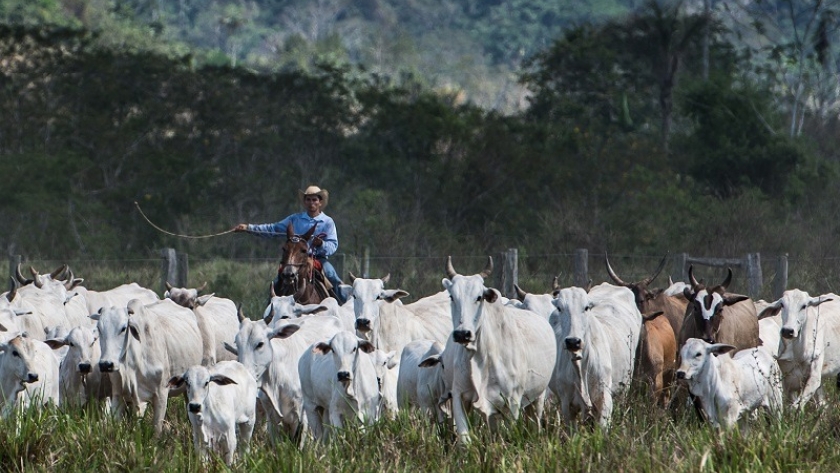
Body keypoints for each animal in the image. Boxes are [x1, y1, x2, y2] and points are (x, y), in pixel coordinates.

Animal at [94, 300, 203, 434]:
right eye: (99, 328)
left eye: (123, 328)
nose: (106, 364)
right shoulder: (118, 395)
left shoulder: (161, 394)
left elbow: (156, 431)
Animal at [442, 256, 556, 440]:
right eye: (452, 297)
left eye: (479, 297)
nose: (462, 334)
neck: (482, 356)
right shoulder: (459, 396)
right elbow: (464, 439)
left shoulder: (512, 402)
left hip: (538, 396)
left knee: (535, 423)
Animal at [552, 282, 644, 430]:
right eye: (559, 308)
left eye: (586, 307)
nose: (573, 341)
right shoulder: (567, 406)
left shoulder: (604, 400)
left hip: (625, 386)